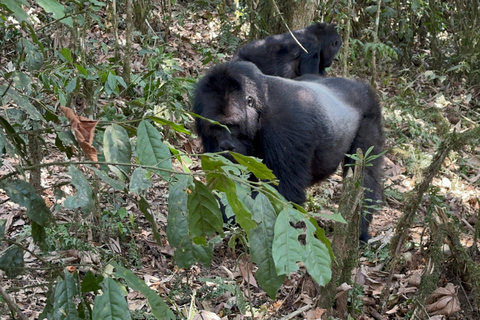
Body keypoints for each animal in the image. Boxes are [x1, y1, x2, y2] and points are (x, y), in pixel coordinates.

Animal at [193, 61, 384, 241]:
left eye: (232, 125)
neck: (261, 103)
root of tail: (358, 85)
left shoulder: (287, 125)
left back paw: (360, 229)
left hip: (371, 112)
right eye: (215, 127)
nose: (226, 146)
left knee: (365, 175)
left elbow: (280, 192)